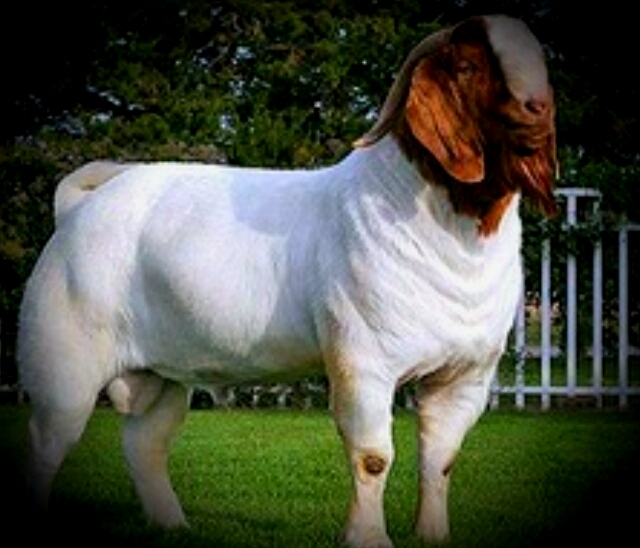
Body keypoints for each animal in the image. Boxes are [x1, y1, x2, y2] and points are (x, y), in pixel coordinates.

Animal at [18, 14, 556, 548]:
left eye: (539, 61)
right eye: (468, 66)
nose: (538, 108)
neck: (453, 234)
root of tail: (82, 206)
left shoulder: (467, 375)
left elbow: (441, 459)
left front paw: (433, 537)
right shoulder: (364, 362)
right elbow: (373, 457)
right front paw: (367, 539)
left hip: (163, 371)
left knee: (145, 441)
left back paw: (173, 525)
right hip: (65, 359)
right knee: (46, 442)